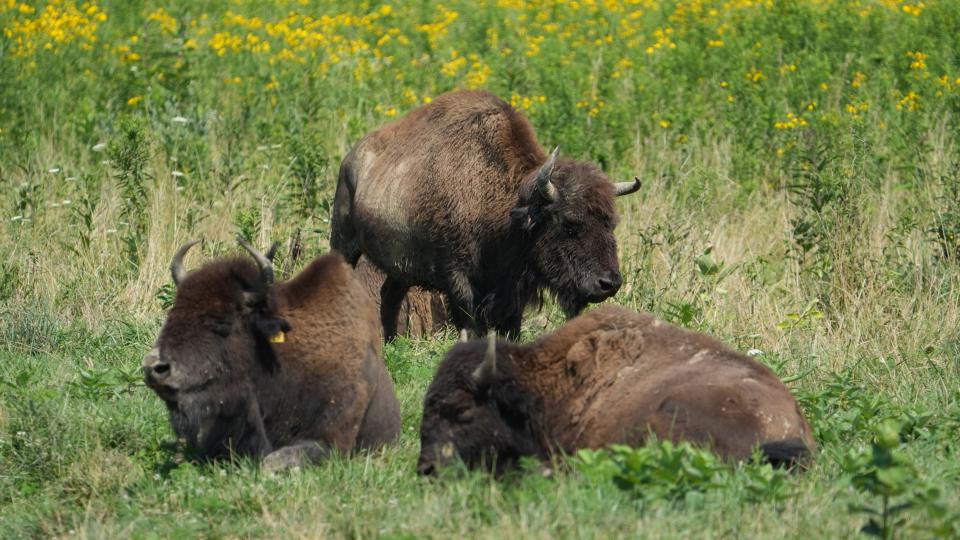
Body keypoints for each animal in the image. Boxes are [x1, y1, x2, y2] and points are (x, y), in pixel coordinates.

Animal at [334, 90, 640, 340]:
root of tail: (351, 158)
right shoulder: (458, 278)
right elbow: (470, 323)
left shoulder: (511, 290)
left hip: (401, 269)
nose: (609, 283)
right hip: (343, 241)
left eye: (611, 224)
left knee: (389, 296)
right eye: (569, 224)